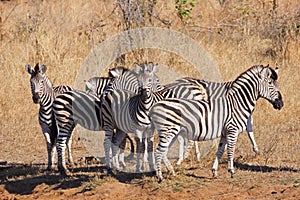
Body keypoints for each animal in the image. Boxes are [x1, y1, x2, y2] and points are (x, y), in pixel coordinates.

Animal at [149, 65, 284, 182]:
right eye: (270, 83)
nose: (281, 104)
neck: (237, 103)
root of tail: (154, 107)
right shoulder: (232, 130)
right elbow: (230, 151)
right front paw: (232, 171)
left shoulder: (225, 132)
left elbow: (220, 151)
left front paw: (214, 171)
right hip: (168, 131)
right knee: (158, 152)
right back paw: (160, 177)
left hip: (170, 132)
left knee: (162, 152)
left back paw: (171, 172)